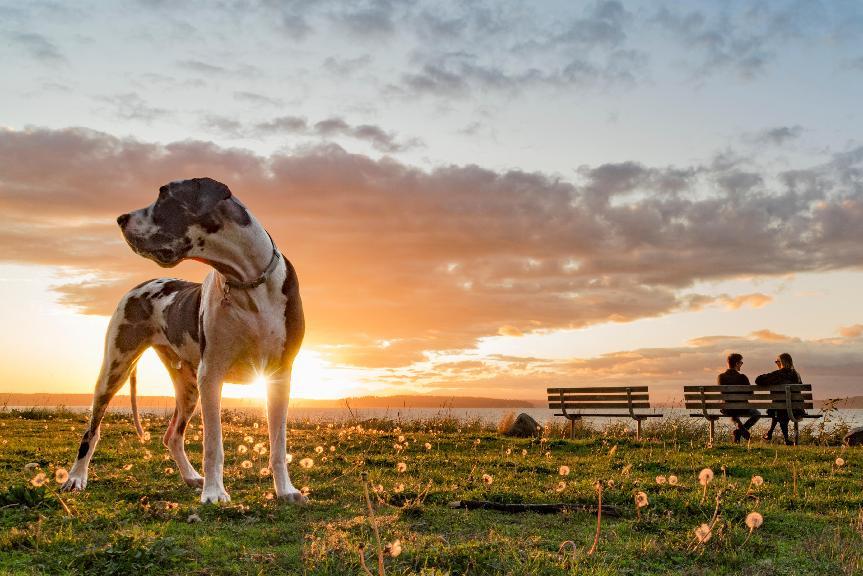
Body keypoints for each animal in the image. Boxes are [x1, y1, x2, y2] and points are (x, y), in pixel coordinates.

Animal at [60, 177, 308, 504]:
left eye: (164, 195)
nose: (121, 219)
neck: (248, 280)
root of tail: (141, 285)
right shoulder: (211, 374)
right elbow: (213, 444)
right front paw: (214, 493)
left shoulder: (279, 374)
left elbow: (278, 444)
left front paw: (286, 491)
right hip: (115, 367)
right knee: (93, 431)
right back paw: (76, 477)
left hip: (188, 387)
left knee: (172, 435)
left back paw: (190, 476)